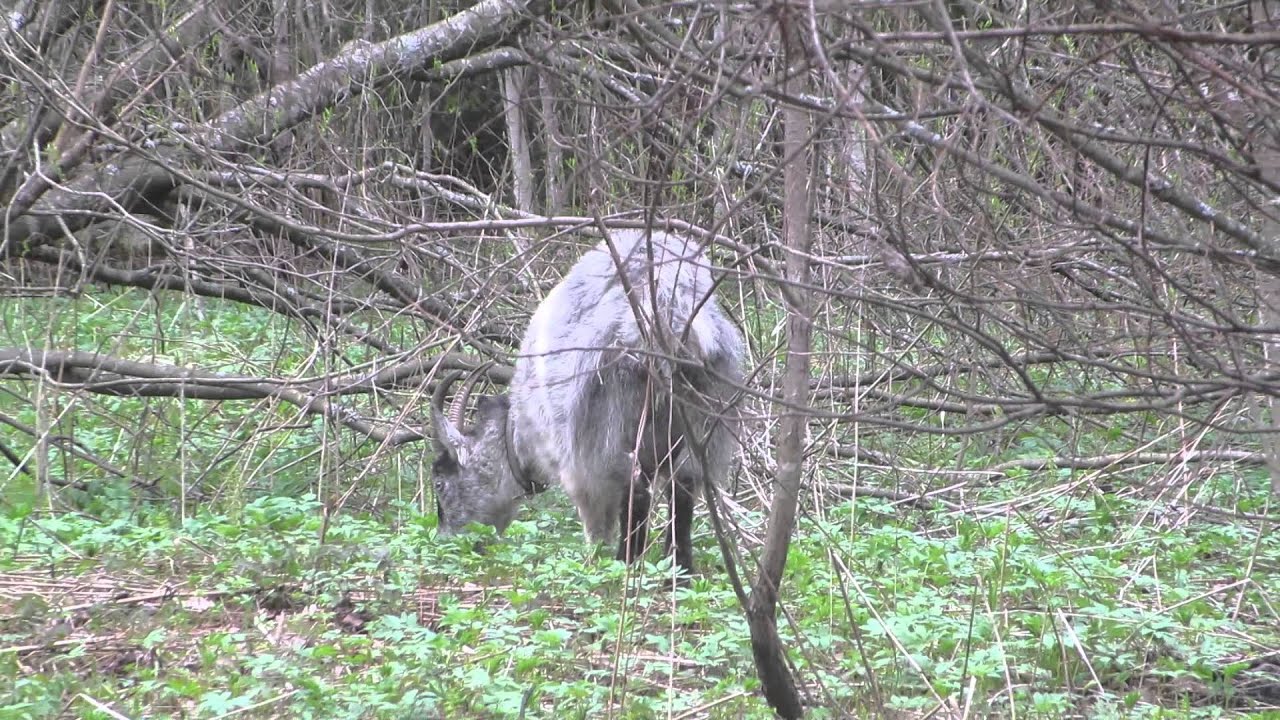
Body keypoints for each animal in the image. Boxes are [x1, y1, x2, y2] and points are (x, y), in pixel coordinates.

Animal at [430, 229, 744, 574]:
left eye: (439, 483)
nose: (446, 541)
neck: (519, 431)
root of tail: (667, 308)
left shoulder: (576, 464)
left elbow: (597, 521)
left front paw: (595, 561)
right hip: (705, 411)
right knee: (684, 483)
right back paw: (679, 570)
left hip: (607, 424)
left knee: (635, 487)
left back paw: (624, 562)